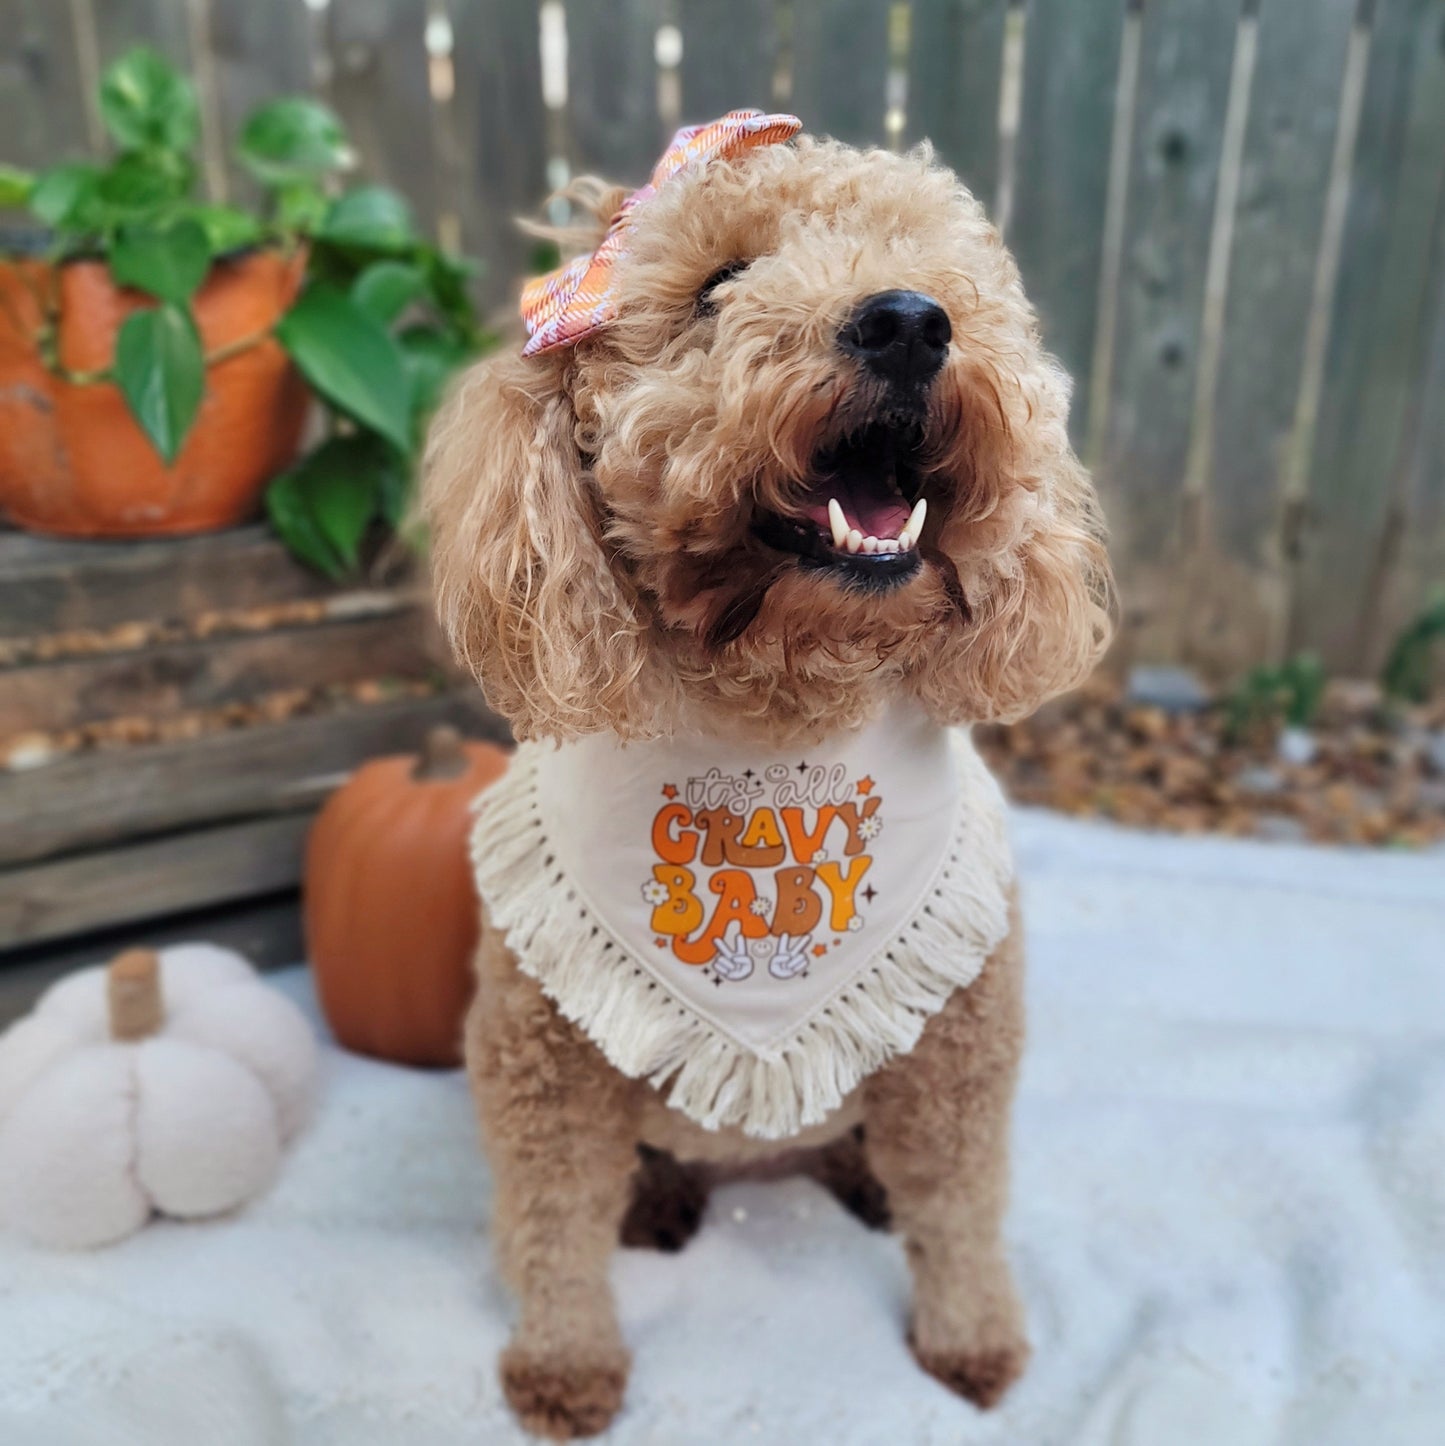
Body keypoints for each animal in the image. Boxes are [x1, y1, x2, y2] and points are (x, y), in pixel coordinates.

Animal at [422, 109, 1110, 1434]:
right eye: (716, 284)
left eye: (933, 265)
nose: (907, 321)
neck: (780, 715)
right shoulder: (539, 1076)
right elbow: (551, 1227)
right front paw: (564, 1368)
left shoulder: (959, 1060)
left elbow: (958, 1210)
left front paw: (972, 1340)